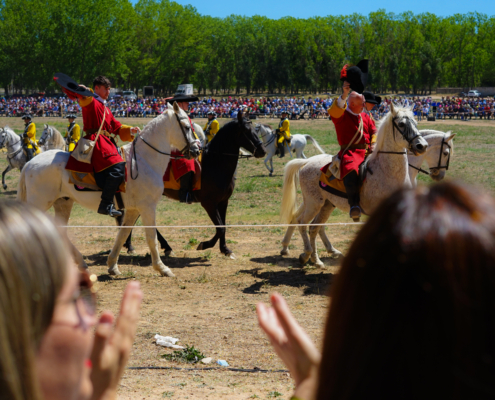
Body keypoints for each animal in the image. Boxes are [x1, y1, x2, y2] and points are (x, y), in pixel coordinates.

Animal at [17, 103, 201, 276]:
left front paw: (112, 265)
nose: (196, 150)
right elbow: (151, 237)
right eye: (186, 127)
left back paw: (81, 263)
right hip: (40, 203)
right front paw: (162, 268)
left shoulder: (133, 210)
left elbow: (123, 235)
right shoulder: (147, 207)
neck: (144, 160)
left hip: (63, 203)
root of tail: (30, 163)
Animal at [120, 111, 268, 256]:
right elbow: (220, 228)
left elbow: (223, 226)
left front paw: (225, 249)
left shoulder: (223, 202)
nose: (262, 151)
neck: (215, 163)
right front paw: (205, 245)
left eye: (254, 129)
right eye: (246, 130)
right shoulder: (209, 204)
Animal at [280, 103, 428, 266]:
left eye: (416, 123)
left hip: (326, 204)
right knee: (302, 223)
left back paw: (316, 259)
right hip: (314, 203)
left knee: (314, 227)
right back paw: (306, 254)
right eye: (401, 124)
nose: (422, 146)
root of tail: (307, 162)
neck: (387, 170)